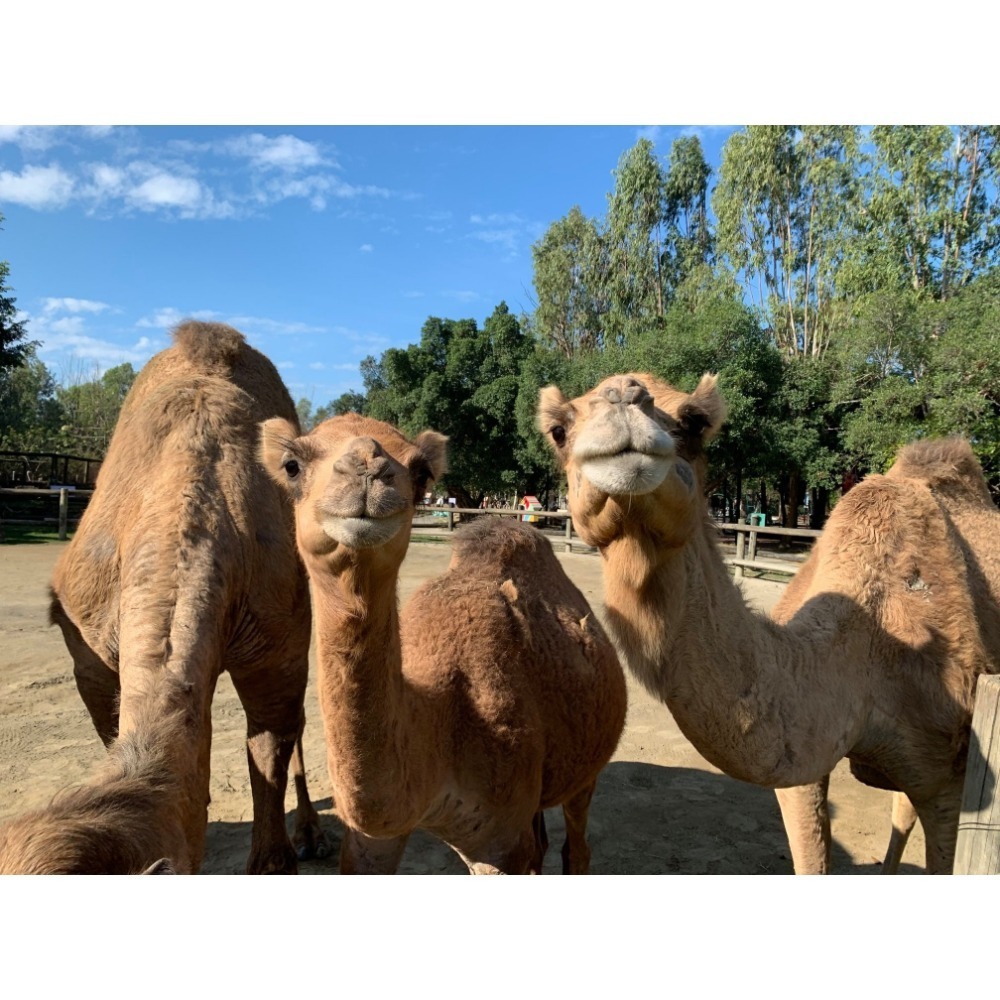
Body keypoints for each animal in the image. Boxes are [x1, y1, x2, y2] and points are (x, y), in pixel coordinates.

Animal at [262, 410, 628, 872]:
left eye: (421, 472)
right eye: (291, 466)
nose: (366, 470)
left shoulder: (498, 838)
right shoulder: (371, 840)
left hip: (587, 767)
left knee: (575, 843)